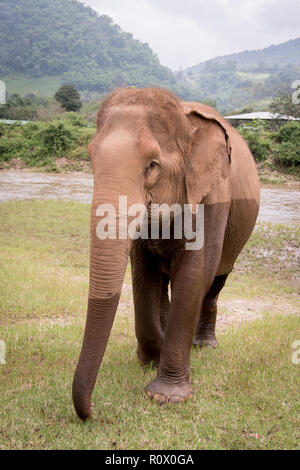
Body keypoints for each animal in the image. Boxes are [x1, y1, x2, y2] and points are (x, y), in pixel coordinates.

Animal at [72, 87, 260, 418]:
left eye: (152, 165)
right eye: (91, 159)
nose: (91, 413)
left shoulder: (213, 194)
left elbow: (195, 272)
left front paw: (166, 396)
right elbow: (142, 273)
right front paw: (150, 358)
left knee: (216, 282)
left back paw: (204, 345)